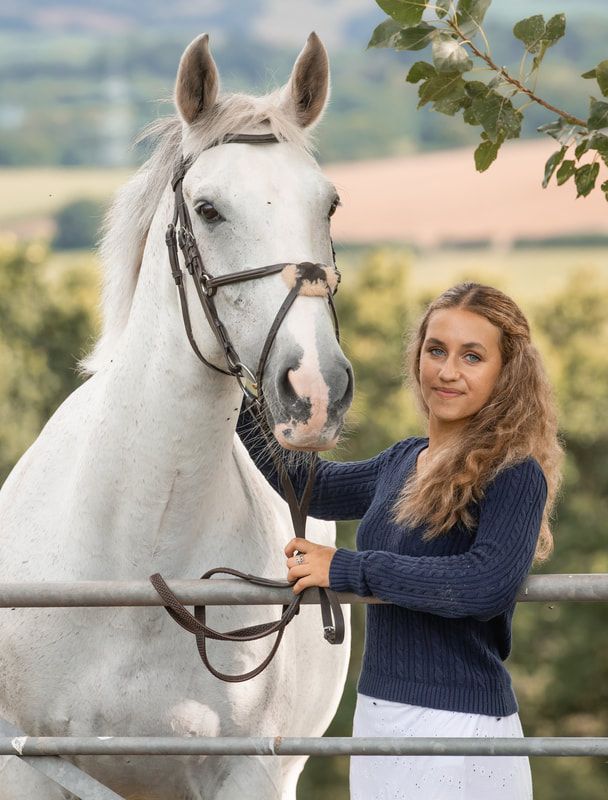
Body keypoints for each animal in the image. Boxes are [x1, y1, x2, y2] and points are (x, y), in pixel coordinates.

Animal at [0, 32, 353, 799]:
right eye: (210, 208)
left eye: (329, 204)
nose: (314, 389)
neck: (137, 555)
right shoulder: (28, 767)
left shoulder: (250, 773)